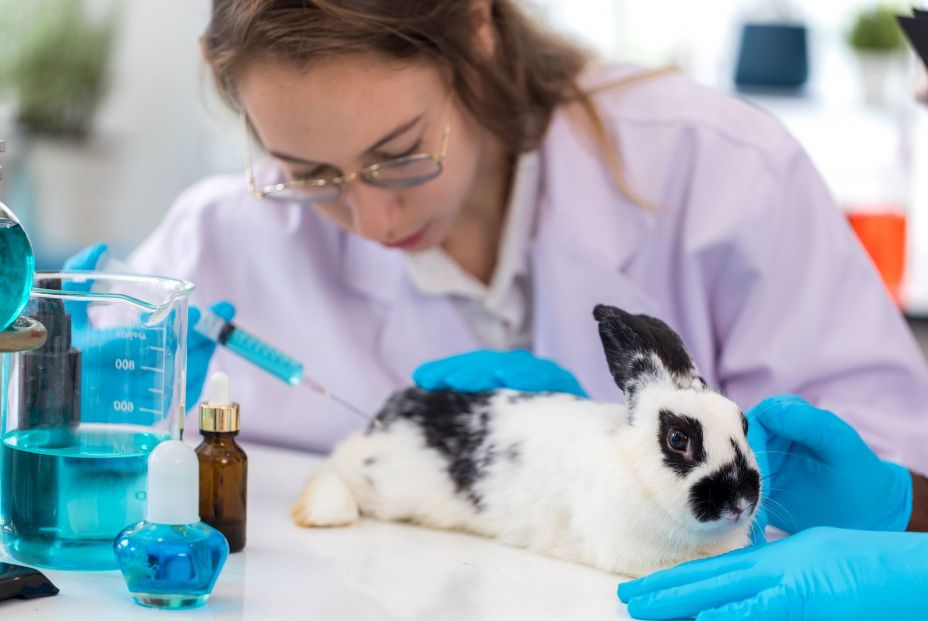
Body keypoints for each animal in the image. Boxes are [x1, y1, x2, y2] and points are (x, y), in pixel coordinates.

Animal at [292, 304, 760, 576]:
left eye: (744, 424)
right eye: (678, 438)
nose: (740, 501)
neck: (631, 465)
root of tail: (381, 417)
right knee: (333, 470)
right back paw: (320, 512)